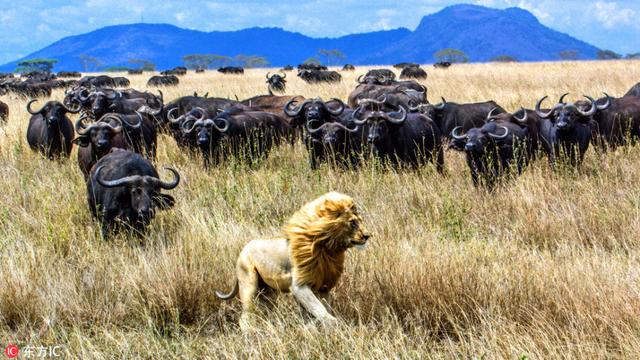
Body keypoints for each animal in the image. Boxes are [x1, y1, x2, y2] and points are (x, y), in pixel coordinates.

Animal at [218, 191, 372, 330]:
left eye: (360, 221)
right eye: (352, 223)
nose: (367, 235)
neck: (328, 249)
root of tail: (243, 249)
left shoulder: (323, 287)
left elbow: (321, 310)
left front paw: (310, 326)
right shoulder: (299, 286)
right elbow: (320, 311)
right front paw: (323, 325)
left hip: (268, 291)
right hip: (248, 284)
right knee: (245, 316)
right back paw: (250, 334)